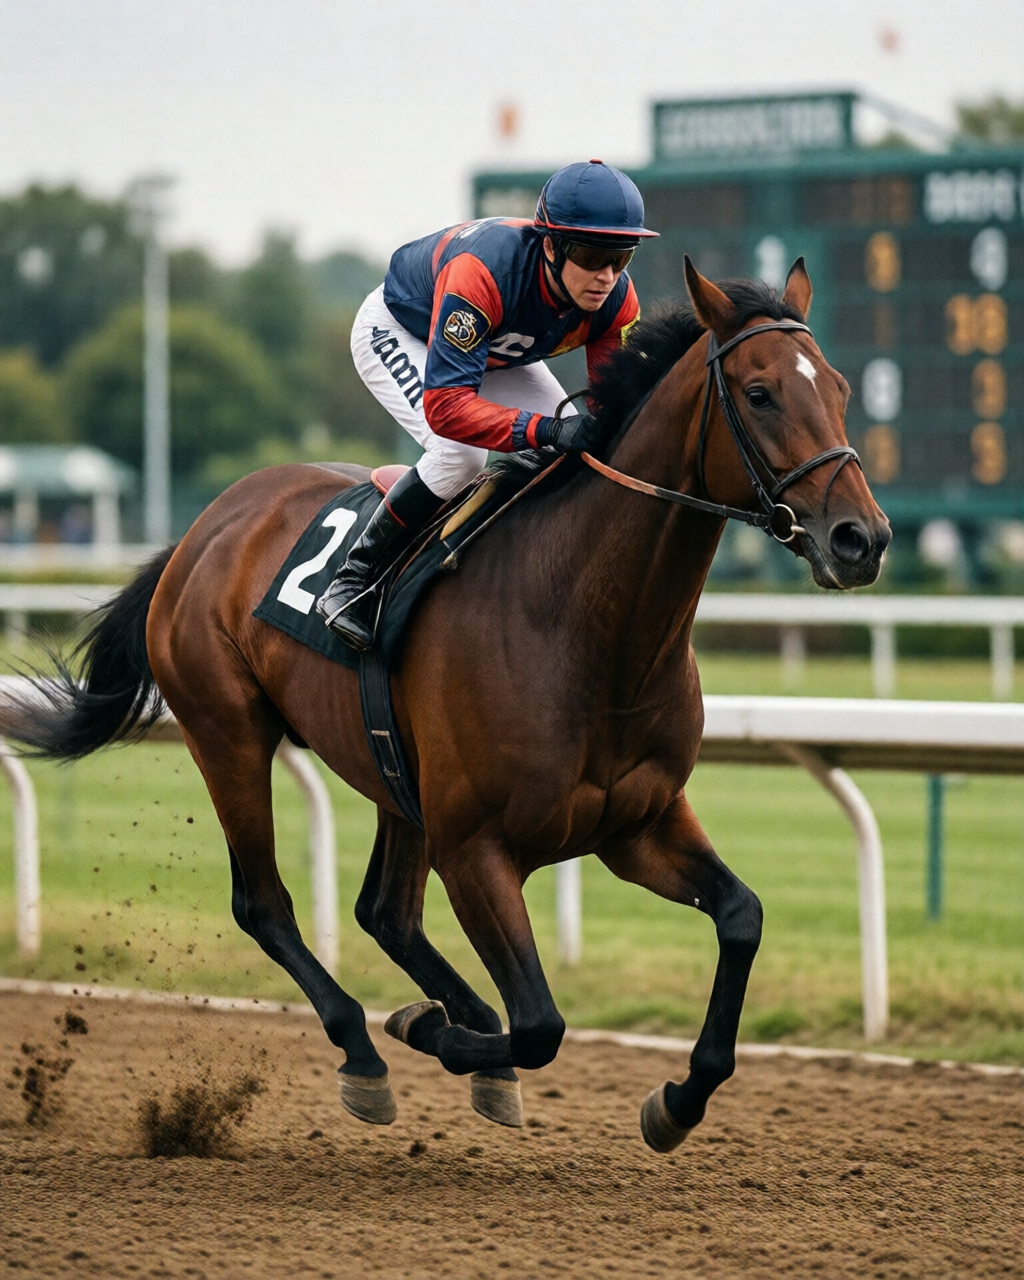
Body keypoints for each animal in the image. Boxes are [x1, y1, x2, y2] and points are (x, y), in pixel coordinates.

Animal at [0, 258, 890, 1151]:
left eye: (841, 388)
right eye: (759, 392)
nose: (863, 539)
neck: (587, 628)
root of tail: (201, 530)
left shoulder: (637, 824)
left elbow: (740, 916)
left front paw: (676, 1100)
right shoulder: (476, 848)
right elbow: (540, 1023)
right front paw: (426, 1029)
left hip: (394, 772)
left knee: (385, 912)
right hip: (228, 732)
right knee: (266, 903)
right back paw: (365, 1048)